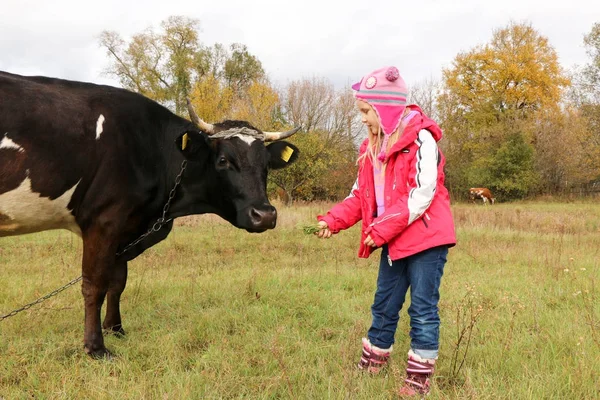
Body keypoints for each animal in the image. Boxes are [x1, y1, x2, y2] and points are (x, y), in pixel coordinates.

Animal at [0, 70, 300, 358]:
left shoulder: (124, 228)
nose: (265, 214)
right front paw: (95, 347)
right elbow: (94, 285)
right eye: (223, 160)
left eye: (266, 164)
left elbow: (117, 282)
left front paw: (115, 329)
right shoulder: (103, 222)